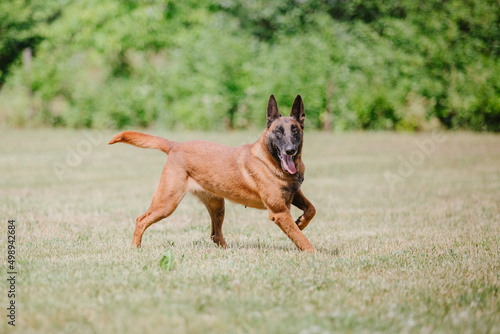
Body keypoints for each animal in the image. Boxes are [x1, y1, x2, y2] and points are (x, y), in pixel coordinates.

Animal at [109, 95, 316, 252]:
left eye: (295, 130)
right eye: (278, 132)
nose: (290, 150)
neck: (270, 160)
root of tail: (176, 145)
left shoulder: (294, 193)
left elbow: (311, 209)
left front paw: (301, 222)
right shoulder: (279, 212)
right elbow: (302, 239)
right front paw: (313, 254)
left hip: (217, 205)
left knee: (215, 235)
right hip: (166, 203)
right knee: (141, 220)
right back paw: (135, 247)